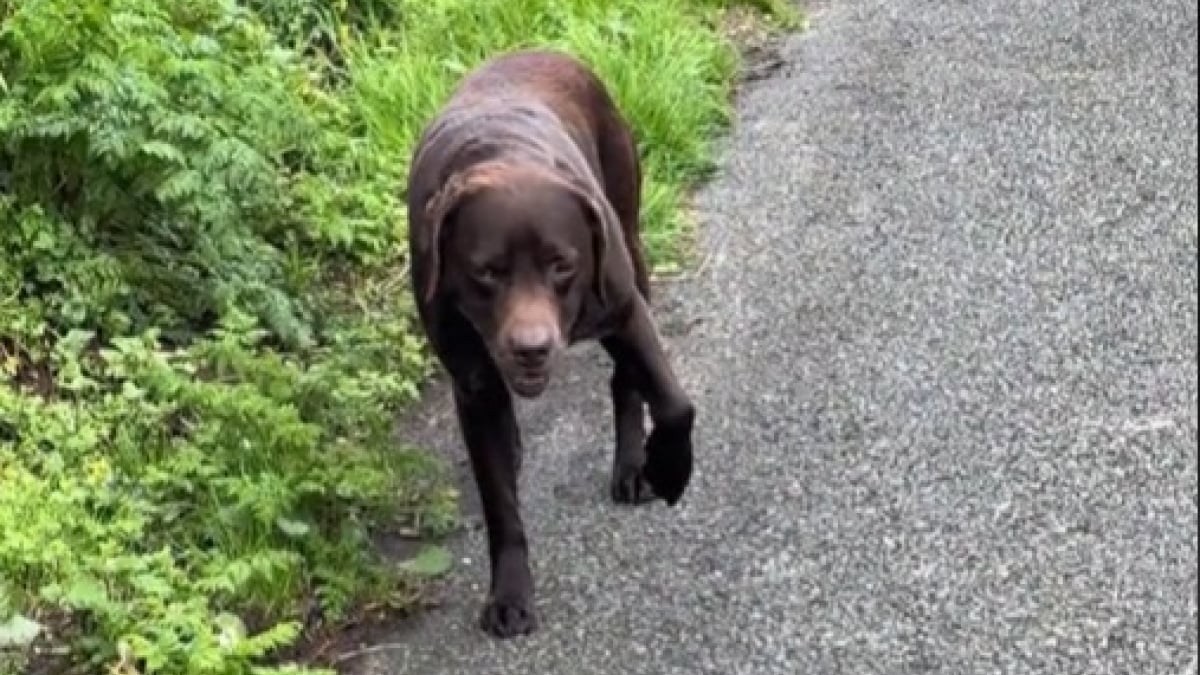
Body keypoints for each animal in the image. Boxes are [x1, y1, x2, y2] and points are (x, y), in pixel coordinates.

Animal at [408, 48, 700, 634]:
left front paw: (668, 468)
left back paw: (631, 466)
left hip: (630, 239)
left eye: (561, 264)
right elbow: (499, 500)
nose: (531, 346)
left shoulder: (625, 310)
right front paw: (510, 594)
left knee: (626, 380)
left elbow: (674, 403)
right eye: (486, 272)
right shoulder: (474, 380)